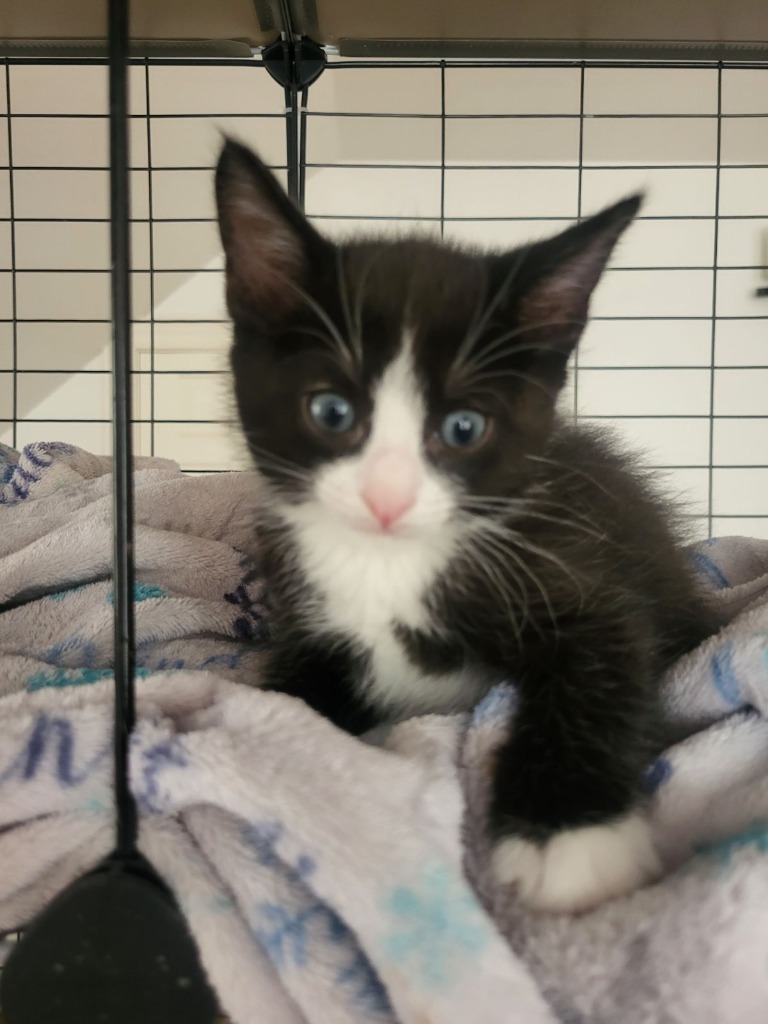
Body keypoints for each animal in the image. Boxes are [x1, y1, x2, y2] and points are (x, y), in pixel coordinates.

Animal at [215, 138, 716, 913]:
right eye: (330, 411)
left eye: (463, 427)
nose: (387, 499)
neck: (388, 567)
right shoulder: (306, 620)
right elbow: (286, 694)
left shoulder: (576, 573)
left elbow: (601, 668)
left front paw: (569, 833)